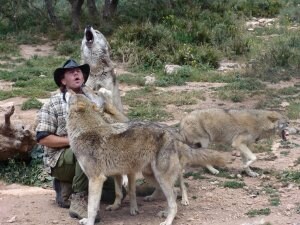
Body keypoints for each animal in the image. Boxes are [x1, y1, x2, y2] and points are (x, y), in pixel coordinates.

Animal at [65, 92, 225, 225]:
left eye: (72, 95)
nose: (68, 89)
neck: (84, 131)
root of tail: (173, 135)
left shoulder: (96, 179)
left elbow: (92, 207)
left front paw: (90, 222)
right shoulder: (104, 178)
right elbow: (107, 199)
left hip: (161, 178)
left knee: (174, 199)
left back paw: (168, 220)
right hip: (151, 176)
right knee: (173, 194)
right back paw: (165, 212)